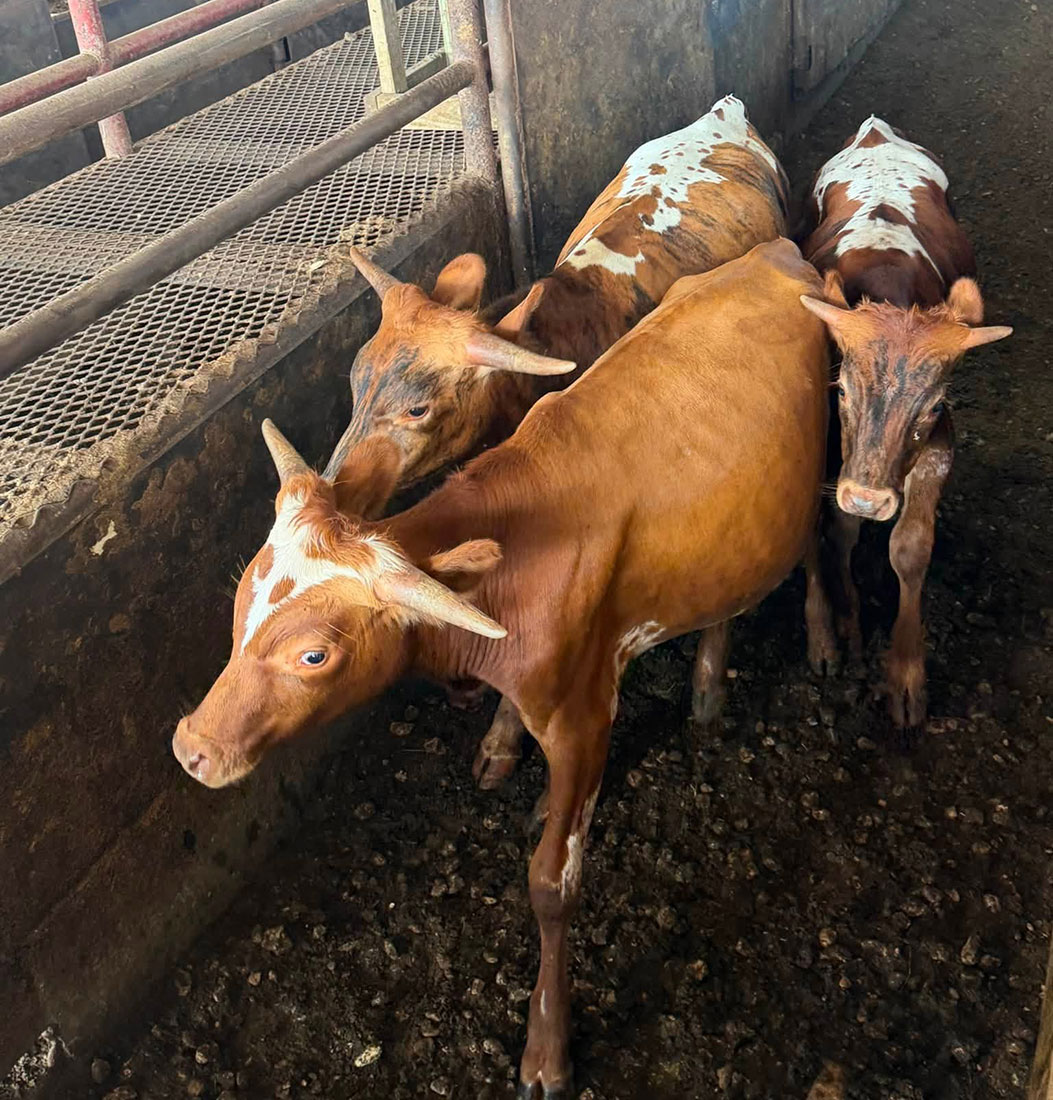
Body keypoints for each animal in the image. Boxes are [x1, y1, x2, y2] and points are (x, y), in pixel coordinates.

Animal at [173, 239, 834, 1098]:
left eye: (314, 654)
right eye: (240, 602)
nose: (192, 748)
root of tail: (774, 255)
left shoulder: (586, 718)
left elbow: (551, 884)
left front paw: (545, 1047)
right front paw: (500, 748)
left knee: (816, 541)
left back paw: (821, 635)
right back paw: (706, 683)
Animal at [799, 116, 1011, 726]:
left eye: (935, 405)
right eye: (841, 390)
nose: (869, 499)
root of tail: (873, 131)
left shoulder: (939, 447)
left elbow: (911, 549)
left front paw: (905, 677)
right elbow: (834, 533)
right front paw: (840, 628)